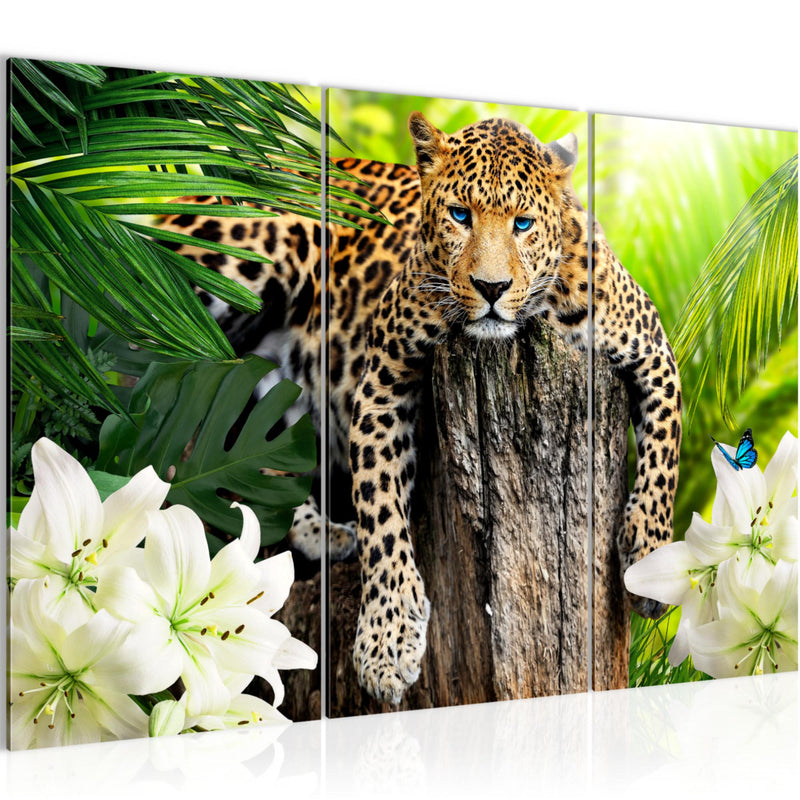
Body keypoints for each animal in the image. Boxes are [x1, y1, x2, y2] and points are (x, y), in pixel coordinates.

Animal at [158, 112, 682, 706]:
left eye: (523, 223)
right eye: (460, 215)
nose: (492, 287)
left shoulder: (653, 351)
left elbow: (665, 453)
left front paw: (649, 556)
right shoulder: (382, 380)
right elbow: (382, 509)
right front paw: (387, 643)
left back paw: (319, 528)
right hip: (249, 251)